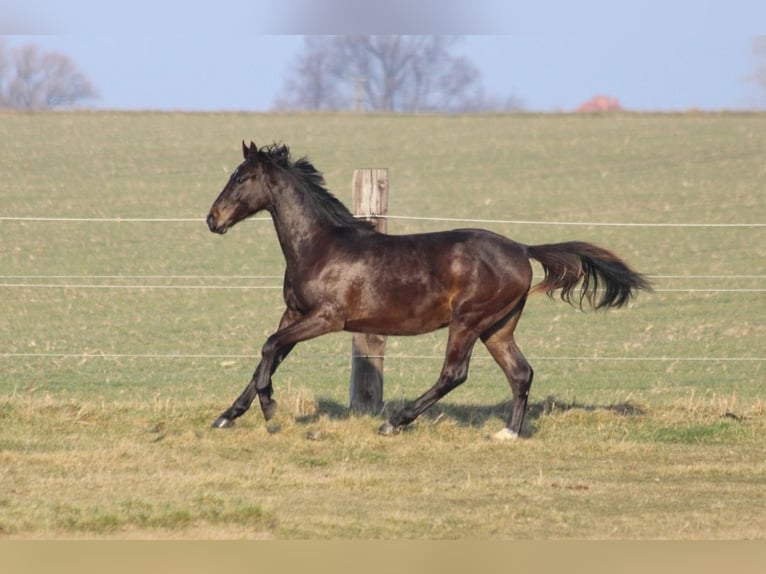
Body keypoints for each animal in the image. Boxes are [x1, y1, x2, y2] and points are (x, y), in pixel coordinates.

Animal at [206, 142, 656, 438]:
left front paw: (270, 409)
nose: (213, 219)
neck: (320, 246)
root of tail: (522, 249)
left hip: (468, 321)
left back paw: (393, 422)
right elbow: (270, 355)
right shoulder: (295, 313)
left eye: (242, 178)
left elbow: (269, 347)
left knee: (454, 373)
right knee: (521, 372)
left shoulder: (326, 318)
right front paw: (227, 415)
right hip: (498, 327)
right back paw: (508, 433)